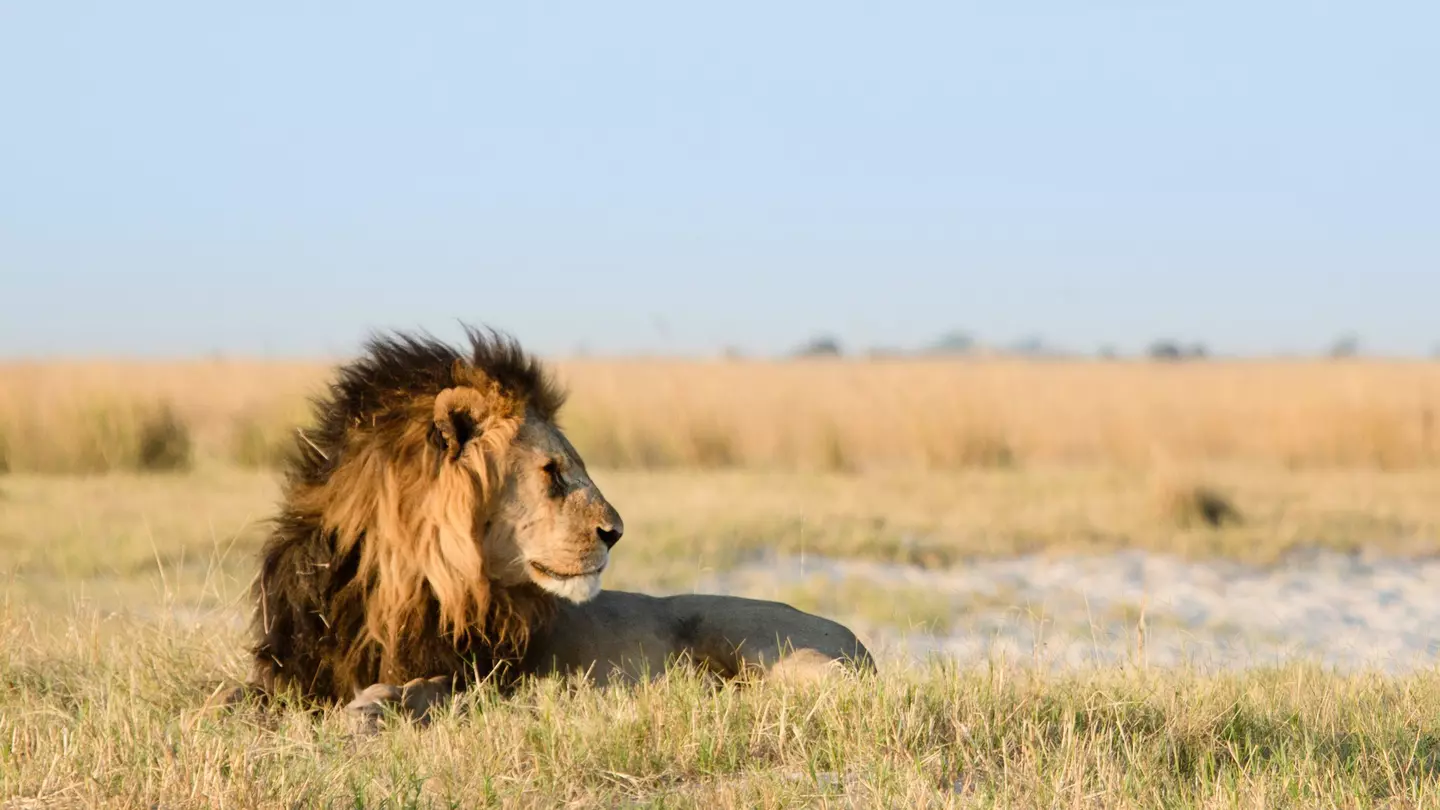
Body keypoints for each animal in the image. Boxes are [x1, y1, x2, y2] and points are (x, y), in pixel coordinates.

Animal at [230, 327, 871, 722]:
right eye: (553, 472)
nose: (616, 532)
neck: (400, 579)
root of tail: (858, 642)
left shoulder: (490, 676)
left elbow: (433, 690)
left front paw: (377, 705)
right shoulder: (289, 670)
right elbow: (227, 698)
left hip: (760, 641)